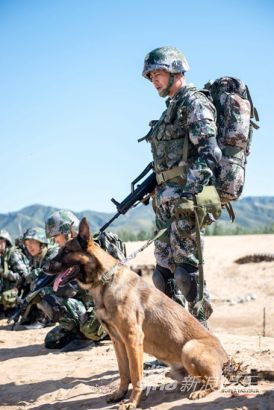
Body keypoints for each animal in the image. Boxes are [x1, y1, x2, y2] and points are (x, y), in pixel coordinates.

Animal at [48, 218, 228, 406]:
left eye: (66, 251)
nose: (45, 267)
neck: (105, 282)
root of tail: (226, 357)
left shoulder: (133, 339)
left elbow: (135, 374)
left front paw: (133, 402)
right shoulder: (118, 341)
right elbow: (123, 372)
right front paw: (120, 394)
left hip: (189, 347)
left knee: (216, 382)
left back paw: (201, 392)